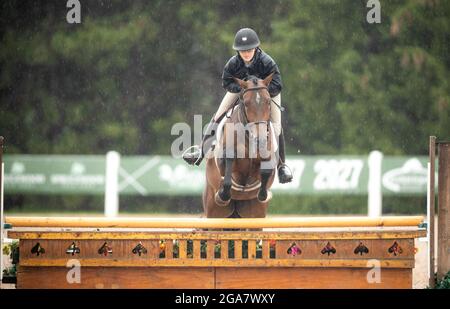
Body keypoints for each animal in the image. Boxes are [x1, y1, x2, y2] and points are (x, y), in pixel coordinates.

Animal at [202, 73, 276, 218]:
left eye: (268, 102)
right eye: (246, 103)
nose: (260, 140)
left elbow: (266, 170)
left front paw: (263, 194)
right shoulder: (225, 159)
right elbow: (228, 167)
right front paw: (223, 195)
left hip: (254, 213)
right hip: (213, 211)